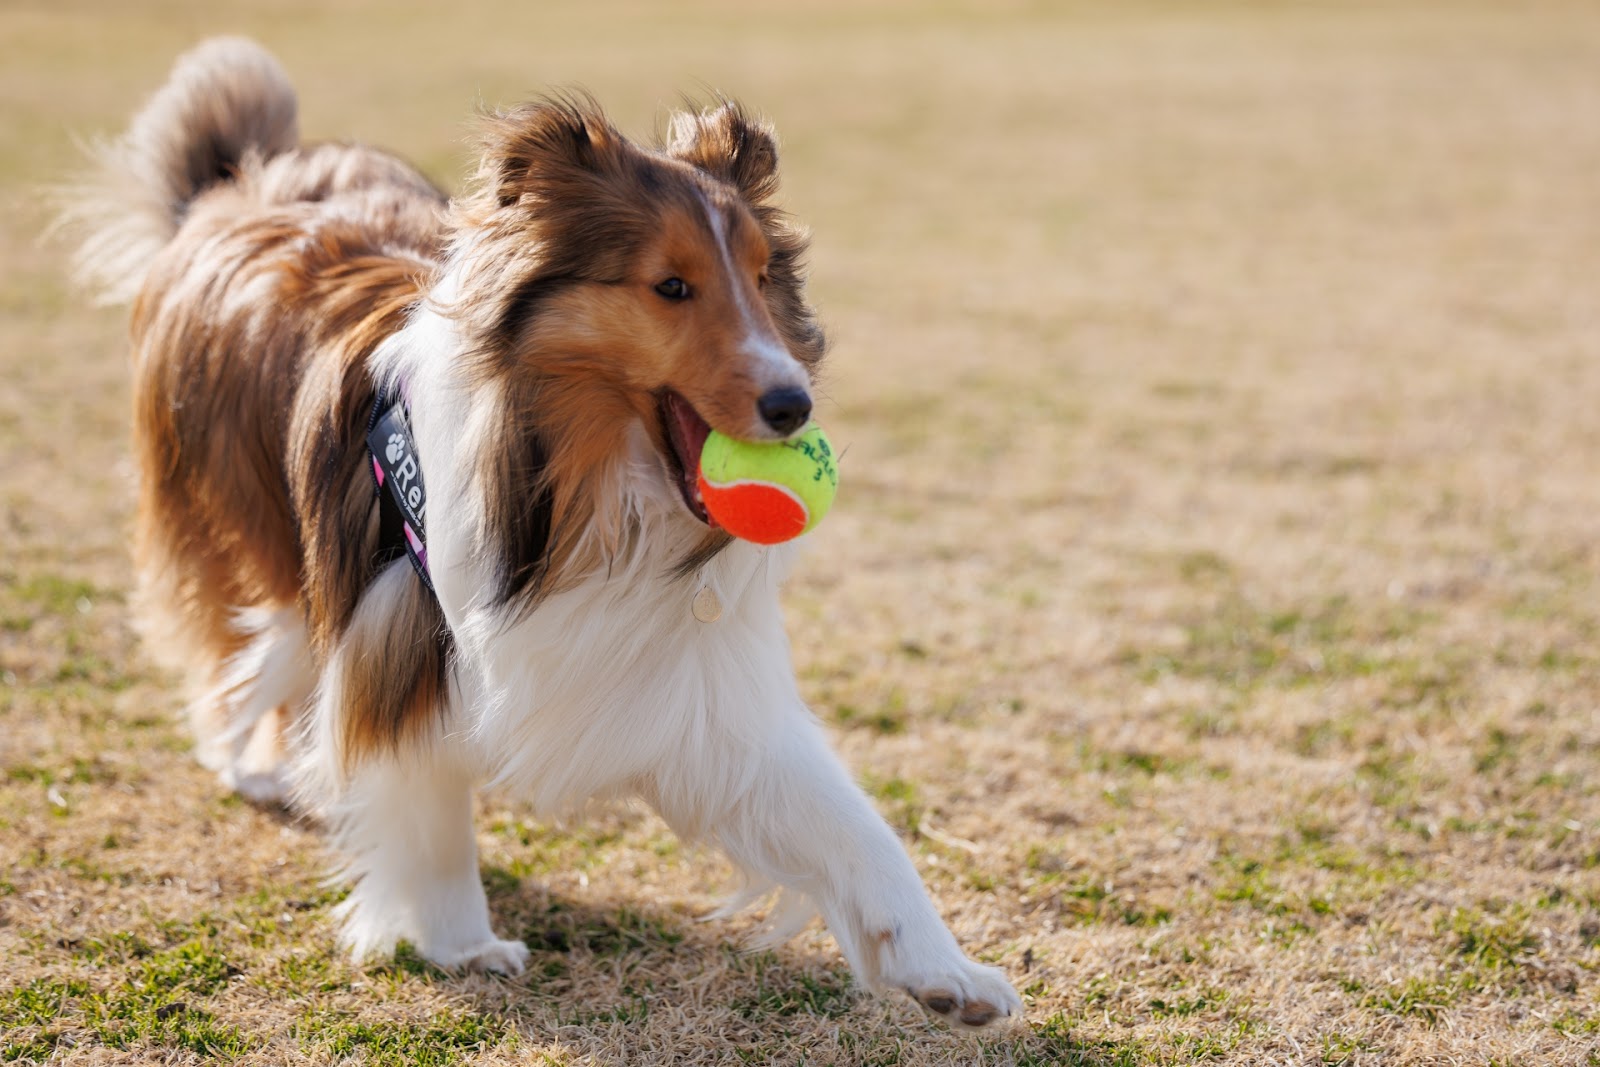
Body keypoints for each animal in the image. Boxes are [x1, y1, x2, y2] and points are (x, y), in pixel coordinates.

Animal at [62, 37, 1017, 1030]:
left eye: (761, 279)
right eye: (671, 286)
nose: (795, 406)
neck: (586, 502)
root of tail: (235, 183)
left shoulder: (696, 690)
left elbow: (856, 828)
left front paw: (945, 969)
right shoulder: (400, 635)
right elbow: (430, 813)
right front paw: (459, 941)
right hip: (240, 520)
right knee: (242, 635)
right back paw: (247, 758)